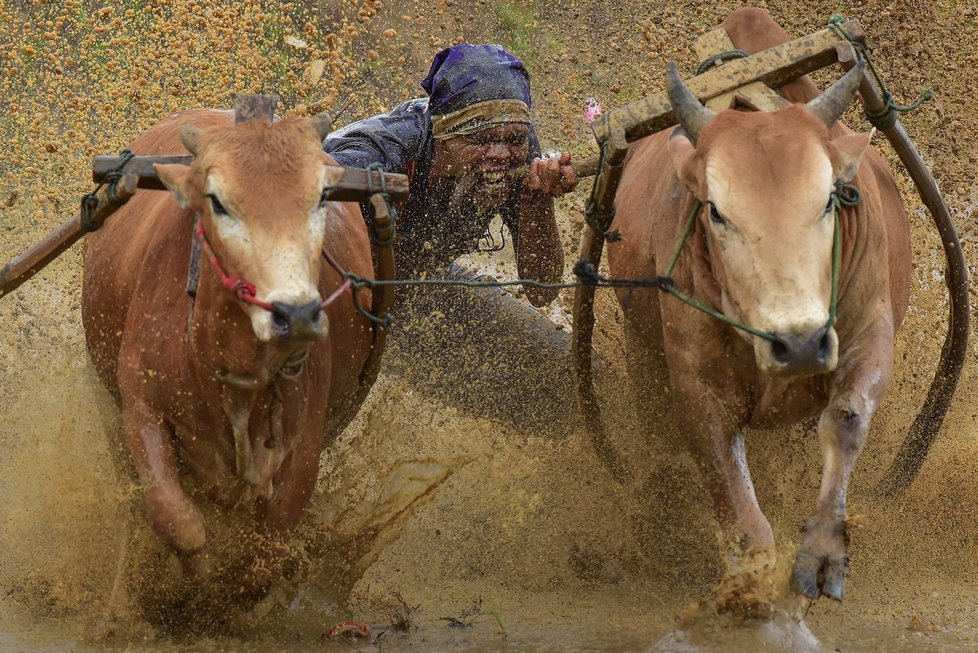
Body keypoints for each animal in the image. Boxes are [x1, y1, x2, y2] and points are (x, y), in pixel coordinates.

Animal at [82, 108, 378, 620]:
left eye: (322, 196)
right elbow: (176, 519)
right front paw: (185, 589)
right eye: (217, 201)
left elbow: (264, 561)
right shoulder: (141, 405)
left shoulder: (305, 443)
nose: (296, 313)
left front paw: (219, 602)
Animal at [608, 6, 912, 608]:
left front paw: (822, 552)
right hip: (640, 351)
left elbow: (844, 421)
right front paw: (749, 586)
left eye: (830, 198)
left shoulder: (867, 332)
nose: (798, 343)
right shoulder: (697, 386)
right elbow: (729, 484)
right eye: (716, 212)